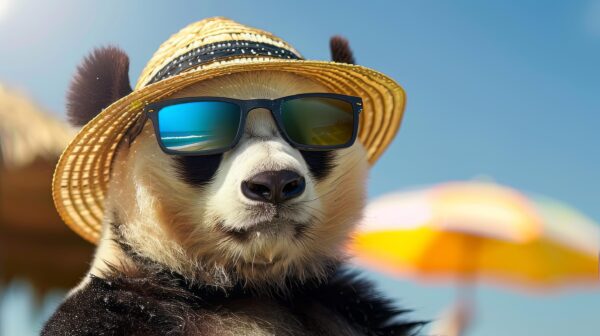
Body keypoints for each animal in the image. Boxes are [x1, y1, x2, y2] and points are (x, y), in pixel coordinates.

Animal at [41, 32, 422, 336]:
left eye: (314, 127)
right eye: (202, 133)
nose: (274, 182)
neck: (242, 290)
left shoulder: (342, 307)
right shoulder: (112, 310)